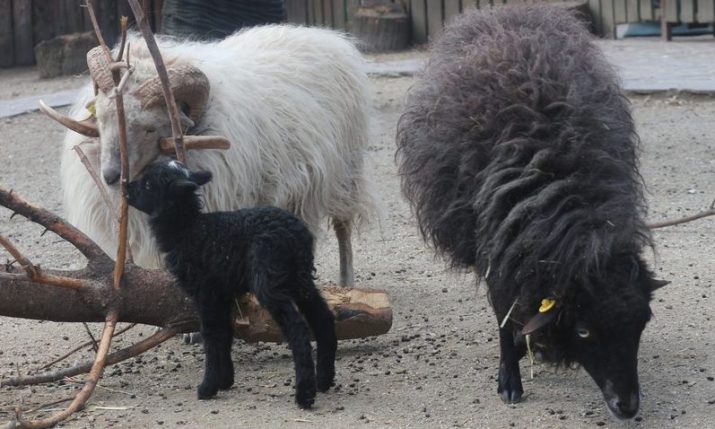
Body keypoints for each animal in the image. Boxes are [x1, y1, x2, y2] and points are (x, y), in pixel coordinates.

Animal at [52, 24, 376, 289]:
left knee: (343, 227)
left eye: (150, 128)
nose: (110, 176)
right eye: (102, 118)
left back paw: (346, 283)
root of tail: (326, 36)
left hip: (345, 173)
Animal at [126, 160, 337, 407]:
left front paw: (207, 387)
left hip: (269, 280)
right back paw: (324, 380)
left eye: (149, 184)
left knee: (298, 328)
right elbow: (225, 332)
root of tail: (297, 234)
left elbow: (211, 334)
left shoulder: (205, 291)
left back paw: (305, 394)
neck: (189, 229)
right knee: (323, 317)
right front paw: (225, 380)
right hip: (299, 278)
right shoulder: (222, 292)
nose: (126, 188)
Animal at [396, 5, 668, 419]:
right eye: (584, 330)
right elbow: (503, 315)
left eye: (641, 323)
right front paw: (510, 378)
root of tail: (508, 10)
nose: (627, 406)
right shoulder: (497, 253)